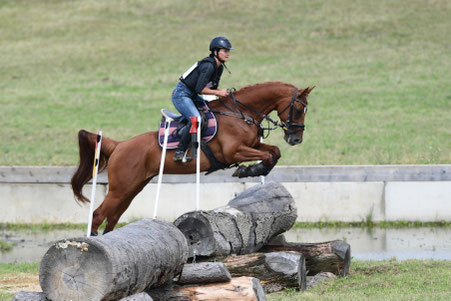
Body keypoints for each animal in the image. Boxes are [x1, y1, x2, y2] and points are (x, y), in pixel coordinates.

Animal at [71, 81, 314, 233]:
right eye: (298, 109)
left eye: (304, 110)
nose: (296, 139)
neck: (240, 113)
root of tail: (119, 145)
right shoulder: (234, 151)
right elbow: (268, 155)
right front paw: (249, 170)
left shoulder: (252, 145)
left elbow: (274, 152)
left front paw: (253, 169)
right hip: (121, 189)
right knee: (98, 215)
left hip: (131, 189)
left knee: (112, 217)